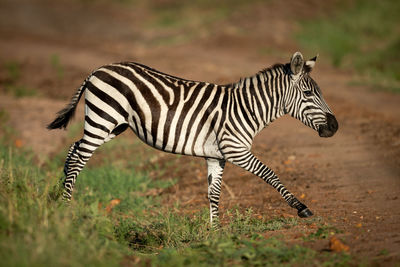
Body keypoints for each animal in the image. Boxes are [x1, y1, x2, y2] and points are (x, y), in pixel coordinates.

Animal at [48, 51, 340, 225]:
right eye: (307, 94)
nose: (335, 127)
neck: (246, 109)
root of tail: (98, 69)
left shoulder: (216, 156)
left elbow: (214, 193)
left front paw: (215, 232)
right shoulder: (235, 150)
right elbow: (270, 173)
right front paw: (301, 207)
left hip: (112, 125)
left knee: (73, 150)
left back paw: (57, 196)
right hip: (103, 119)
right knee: (78, 159)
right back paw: (65, 209)